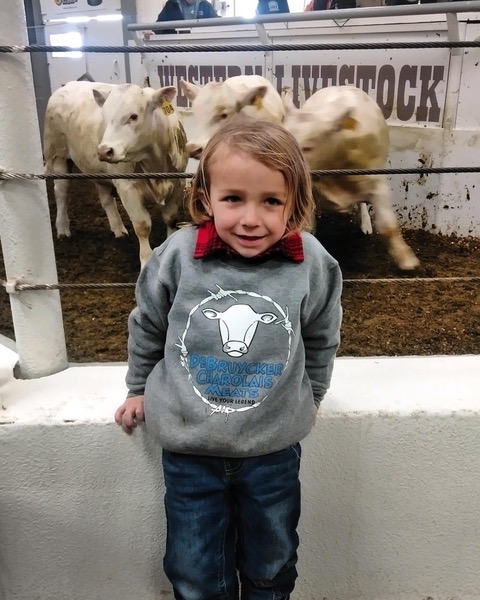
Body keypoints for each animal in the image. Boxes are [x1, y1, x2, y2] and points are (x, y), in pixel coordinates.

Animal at [43, 81, 188, 268]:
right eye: (105, 117)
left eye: (134, 116)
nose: (104, 151)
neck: (155, 161)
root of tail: (68, 85)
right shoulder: (127, 187)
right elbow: (142, 226)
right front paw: (146, 261)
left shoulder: (177, 182)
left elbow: (171, 218)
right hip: (58, 155)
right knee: (61, 191)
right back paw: (62, 229)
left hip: (98, 170)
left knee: (105, 198)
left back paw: (118, 228)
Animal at [284, 84, 418, 270]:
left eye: (308, 147)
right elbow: (307, 226)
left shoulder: (376, 182)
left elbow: (388, 225)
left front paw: (407, 260)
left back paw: (366, 224)